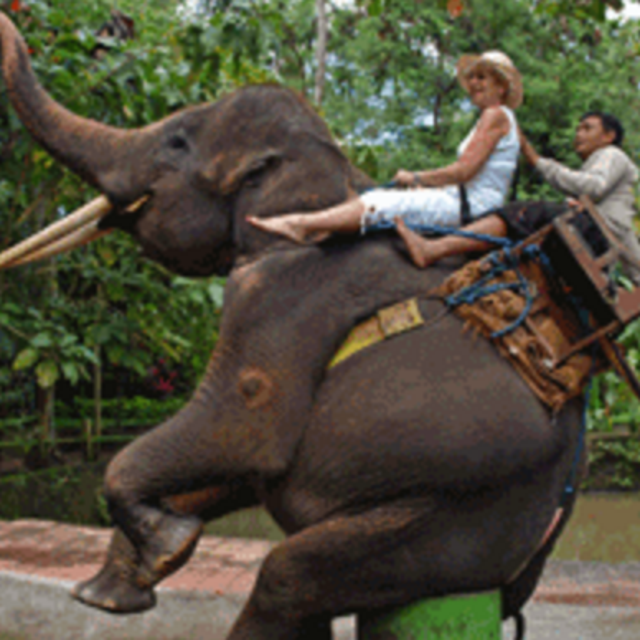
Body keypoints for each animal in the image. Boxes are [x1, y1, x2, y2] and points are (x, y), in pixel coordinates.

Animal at [0, 12, 582, 639]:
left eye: (177, 141)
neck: (335, 176)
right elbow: (236, 463)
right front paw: (111, 591)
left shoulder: (278, 292)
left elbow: (245, 424)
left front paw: (165, 547)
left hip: (460, 512)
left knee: (288, 576)